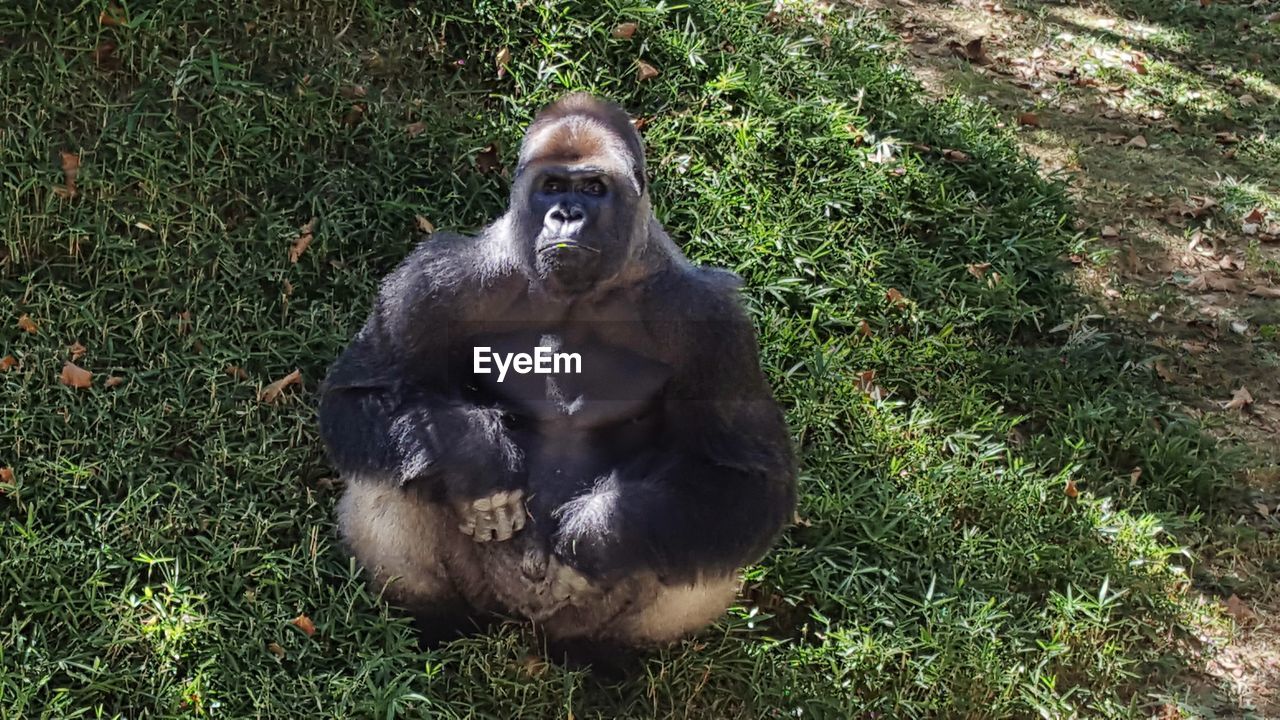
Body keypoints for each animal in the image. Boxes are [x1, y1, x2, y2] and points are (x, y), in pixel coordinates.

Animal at [318, 92, 793, 653]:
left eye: (592, 188)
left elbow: (746, 479)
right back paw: (433, 624)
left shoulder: (710, 319)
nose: (567, 215)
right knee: (392, 473)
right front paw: (474, 452)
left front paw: (601, 533)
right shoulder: (438, 280)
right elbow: (360, 395)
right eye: (551, 187)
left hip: (577, 621)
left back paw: (612, 658)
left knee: (696, 538)